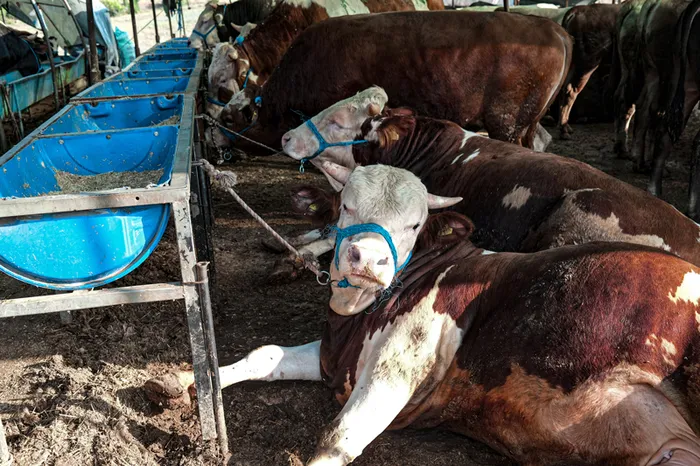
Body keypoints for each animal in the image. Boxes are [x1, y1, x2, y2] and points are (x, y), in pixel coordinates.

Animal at [145, 163, 700, 466]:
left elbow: (337, 440)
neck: (356, 315)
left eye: (414, 224)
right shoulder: (337, 356)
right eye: (345, 206)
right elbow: (264, 355)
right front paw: (179, 379)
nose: (367, 258)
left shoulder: (396, 369)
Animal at [557, 4, 620, 139]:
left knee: (564, 88)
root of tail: (574, 12)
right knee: (572, 90)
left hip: (574, 63)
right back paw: (564, 130)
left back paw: (566, 127)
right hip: (588, 63)